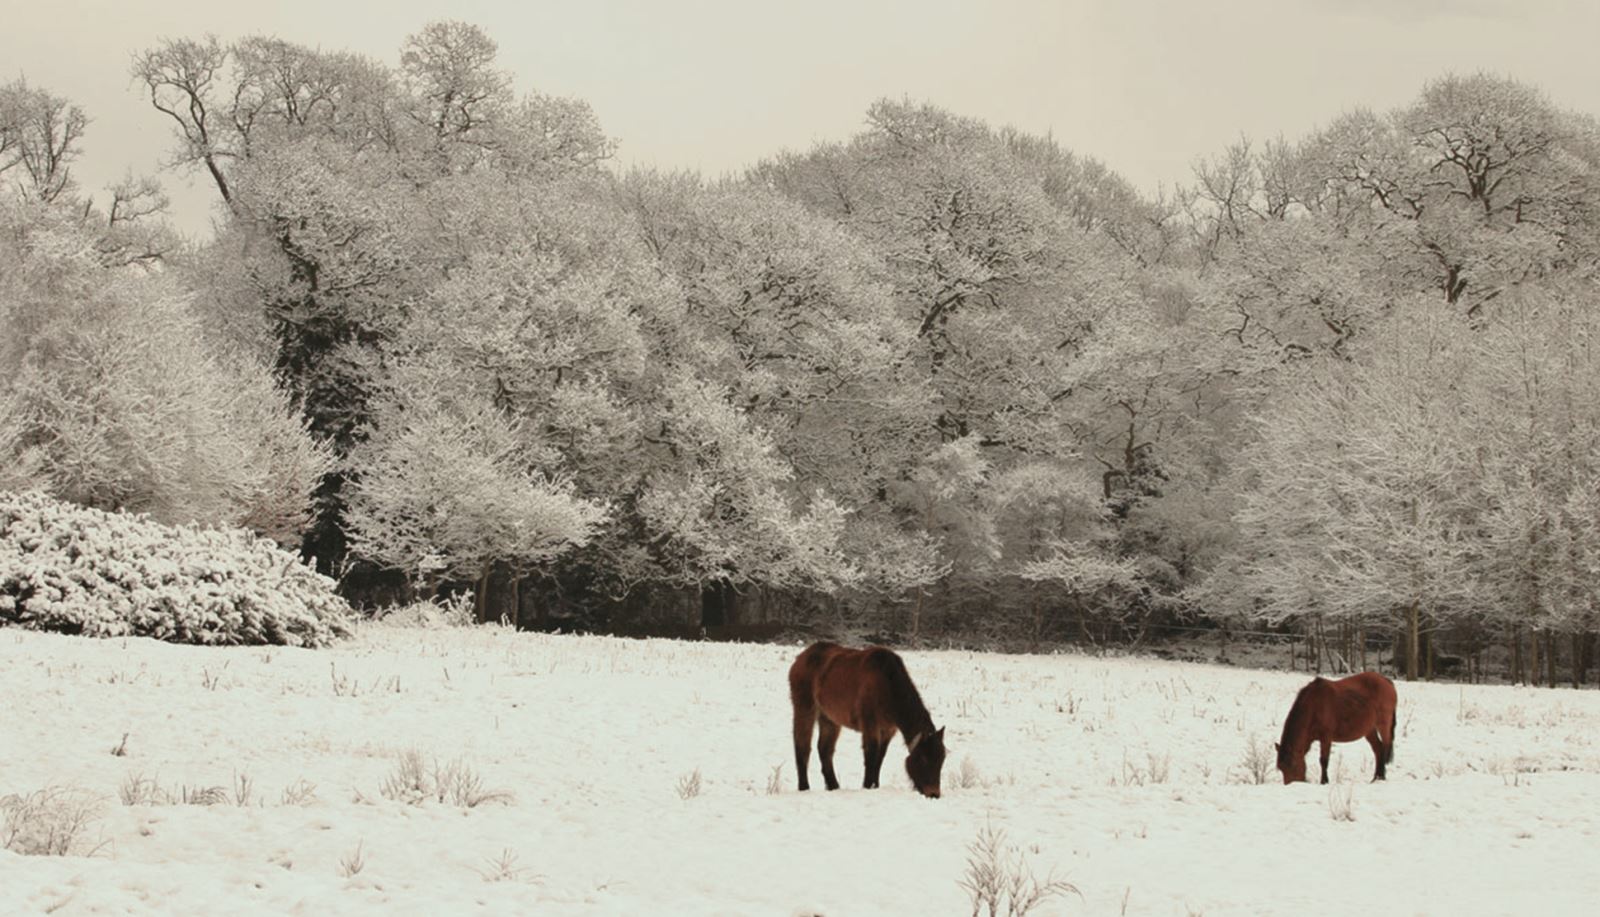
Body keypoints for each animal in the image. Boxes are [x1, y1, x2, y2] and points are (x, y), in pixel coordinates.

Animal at [790, 640, 940, 796]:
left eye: (942, 759)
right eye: (923, 759)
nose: (934, 793)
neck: (887, 684)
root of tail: (799, 659)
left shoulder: (888, 730)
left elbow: (880, 756)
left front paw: (875, 785)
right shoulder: (870, 724)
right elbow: (871, 755)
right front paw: (867, 785)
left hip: (829, 718)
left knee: (824, 749)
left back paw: (833, 786)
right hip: (804, 709)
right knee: (802, 746)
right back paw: (804, 787)